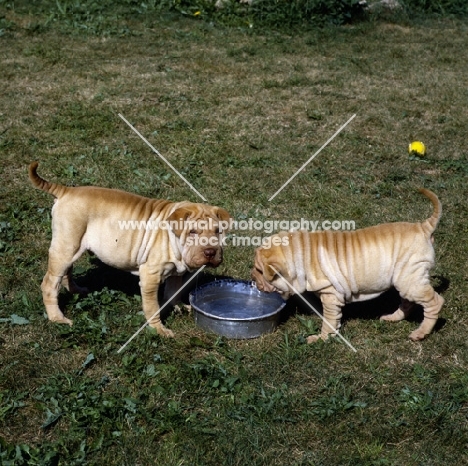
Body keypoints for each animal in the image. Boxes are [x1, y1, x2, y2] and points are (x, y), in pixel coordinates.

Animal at [29, 162, 230, 336]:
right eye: (193, 232)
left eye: (218, 231)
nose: (211, 252)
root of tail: (66, 190)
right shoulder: (150, 277)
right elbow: (153, 307)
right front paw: (159, 329)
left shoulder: (175, 273)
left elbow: (173, 292)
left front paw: (178, 306)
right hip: (66, 247)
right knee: (49, 284)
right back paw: (58, 318)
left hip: (73, 246)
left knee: (66, 272)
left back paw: (76, 290)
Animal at [252, 188, 446, 342]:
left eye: (259, 270)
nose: (252, 278)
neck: (299, 253)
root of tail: (423, 227)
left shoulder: (330, 295)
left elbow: (329, 320)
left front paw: (320, 338)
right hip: (406, 279)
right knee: (408, 301)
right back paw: (392, 318)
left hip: (411, 278)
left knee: (435, 302)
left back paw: (420, 333)